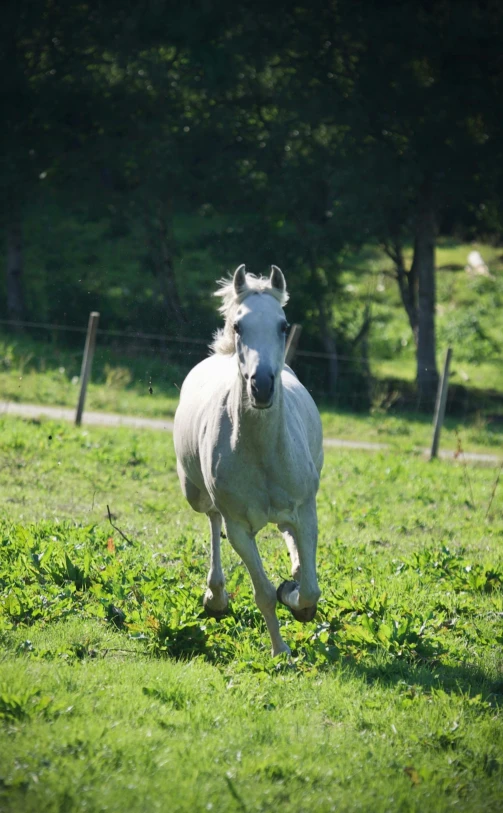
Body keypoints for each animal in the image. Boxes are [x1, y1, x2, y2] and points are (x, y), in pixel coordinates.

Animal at [173, 264, 322, 656]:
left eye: (283, 325)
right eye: (239, 326)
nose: (262, 386)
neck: (262, 452)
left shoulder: (307, 510)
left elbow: (310, 588)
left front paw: (296, 596)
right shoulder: (239, 528)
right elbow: (264, 594)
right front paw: (281, 653)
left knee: (287, 531)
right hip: (196, 495)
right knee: (211, 518)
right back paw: (216, 597)